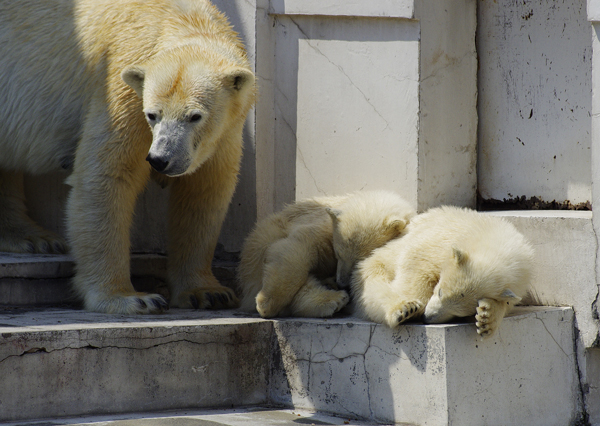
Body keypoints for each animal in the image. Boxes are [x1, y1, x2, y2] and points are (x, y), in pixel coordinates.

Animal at [0, 0, 255, 312]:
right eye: (153, 115)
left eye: (195, 116)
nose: (160, 159)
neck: (183, 19)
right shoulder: (122, 87)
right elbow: (109, 173)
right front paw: (131, 298)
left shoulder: (225, 131)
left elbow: (204, 189)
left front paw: (208, 292)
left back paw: (31, 236)